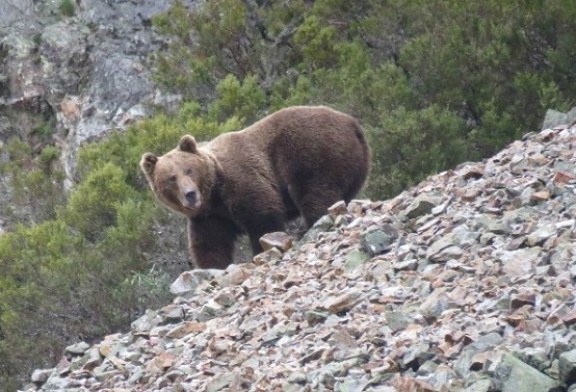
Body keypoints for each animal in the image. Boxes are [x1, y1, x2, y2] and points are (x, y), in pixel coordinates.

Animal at [142, 105, 372, 268]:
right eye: (171, 178)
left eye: (189, 170)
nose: (190, 194)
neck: (214, 194)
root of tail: (353, 124)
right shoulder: (209, 216)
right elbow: (210, 244)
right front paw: (212, 267)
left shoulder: (241, 180)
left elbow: (263, 216)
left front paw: (262, 251)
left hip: (311, 152)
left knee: (315, 194)